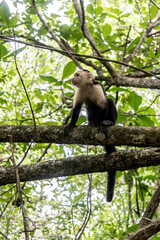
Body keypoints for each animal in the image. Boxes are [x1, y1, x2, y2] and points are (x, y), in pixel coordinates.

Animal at [64, 70, 118, 202]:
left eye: (77, 75)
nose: (73, 78)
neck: (86, 86)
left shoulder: (97, 88)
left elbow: (102, 105)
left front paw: (100, 123)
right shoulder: (79, 91)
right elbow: (77, 108)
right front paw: (71, 124)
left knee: (109, 101)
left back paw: (108, 122)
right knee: (89, 107)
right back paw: (91, 122)